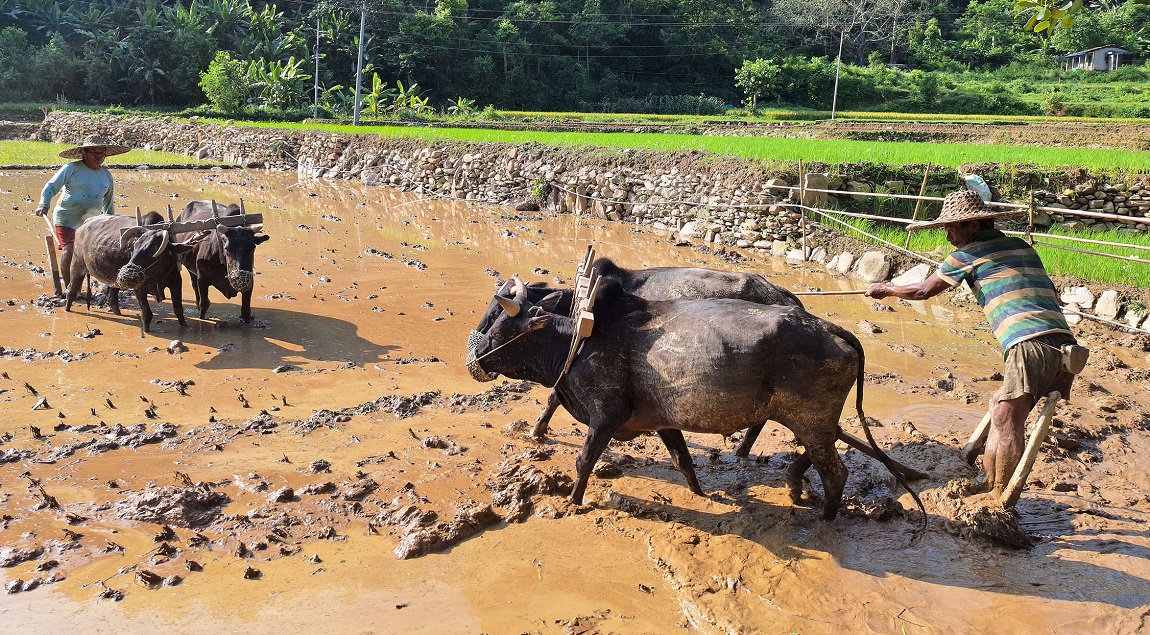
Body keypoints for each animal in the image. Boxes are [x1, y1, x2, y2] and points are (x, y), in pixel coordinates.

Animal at [64, 212, 192, 331]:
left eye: (154, 250)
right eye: (133, 247)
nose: (128, 275)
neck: (157, 275)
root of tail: (83, 226)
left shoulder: (176, 282)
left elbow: (178, 309)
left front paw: (184, 326)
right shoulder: (139, 289)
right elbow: (146, 314)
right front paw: (146, 330)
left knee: (111, 298)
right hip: (76, 267)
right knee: (71, 291)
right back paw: (66, 310)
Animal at [466, 274, 915, 517]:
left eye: (502, 331)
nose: (472, 359)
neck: (580, 338)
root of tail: (828, 327)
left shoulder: (606, 415)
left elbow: (584, 460)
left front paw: (574, 502)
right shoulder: (664, 423)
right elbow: (683, 461)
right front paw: (703, 495)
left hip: (812, 421)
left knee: (835, 472)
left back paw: (824, 518)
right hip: (813, 422)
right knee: (824, 451)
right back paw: (793, 485)